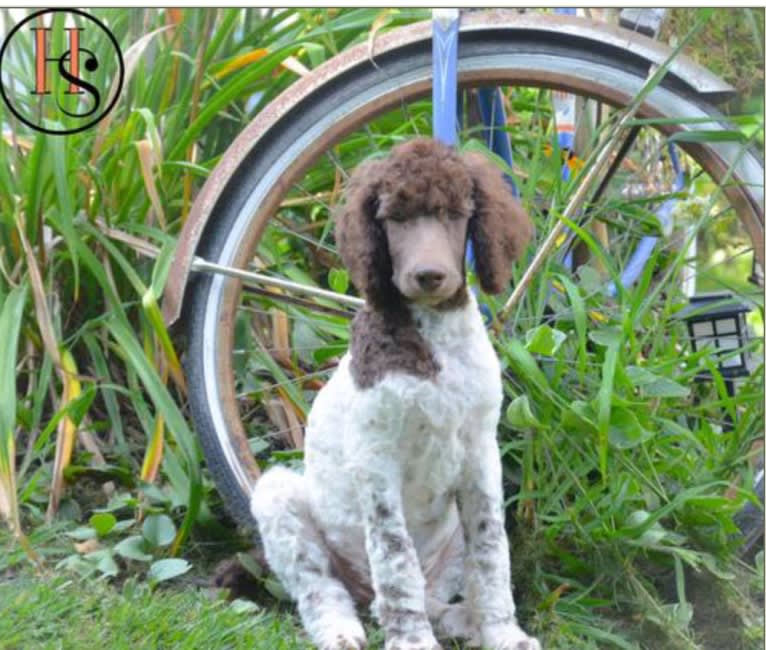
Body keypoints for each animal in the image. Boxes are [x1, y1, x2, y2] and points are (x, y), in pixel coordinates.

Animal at [252, 138, 540, 648]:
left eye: (453, 214)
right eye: (394, 218)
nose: (429, 275)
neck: (434, 341)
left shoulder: (480, 452)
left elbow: (491, 547)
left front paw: (504, 633)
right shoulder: (376, 458)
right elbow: (394, 554)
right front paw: (412, 642)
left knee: (425, 591)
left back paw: (461, 621)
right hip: (278, 497)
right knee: (323, 588)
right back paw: (342, 630)